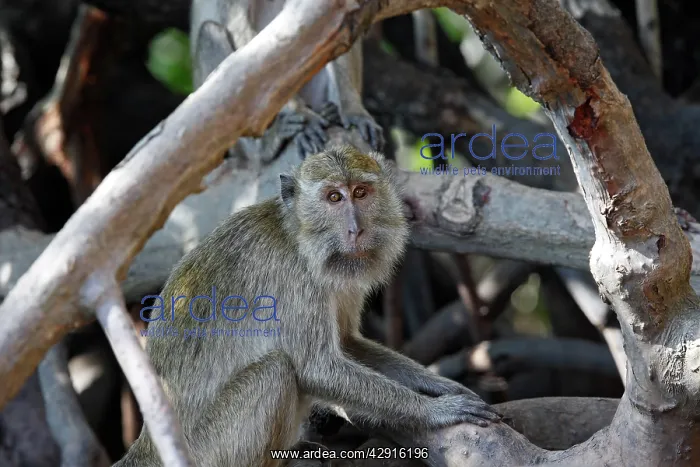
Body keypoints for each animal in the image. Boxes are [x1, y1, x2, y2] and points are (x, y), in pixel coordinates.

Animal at [114, 145, 500, 467]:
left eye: (361, 193)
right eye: (333, 197)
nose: (355, 230)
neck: (299, 237)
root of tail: (148, 447)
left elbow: (347, 343)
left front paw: (444, 385)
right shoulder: (295, 280)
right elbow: (317, 368)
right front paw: (435, 410)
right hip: (211, 449)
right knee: (276, 371)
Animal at [190, 0, 385, 164]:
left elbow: (340, 23)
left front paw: (354, 112)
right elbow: (241, 32)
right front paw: (301, 114)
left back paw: (332, 112)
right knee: (210, 31)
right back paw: (264, 147)